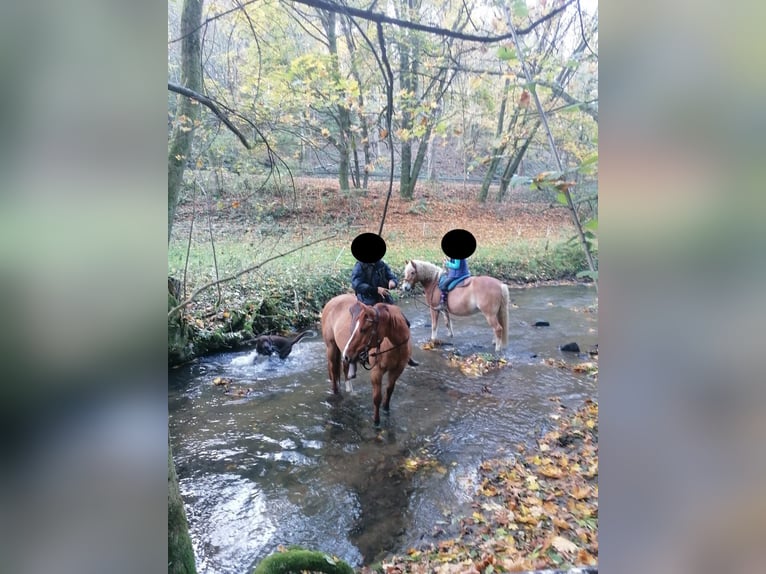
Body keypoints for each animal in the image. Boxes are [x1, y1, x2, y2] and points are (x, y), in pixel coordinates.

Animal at [321, 294, 412, 425]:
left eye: (363, 329)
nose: (347, 353)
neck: (394, 345)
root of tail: (332, 301)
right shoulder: (376, 371)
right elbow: (377, 398)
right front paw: (376, 422)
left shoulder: (397, 370)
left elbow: (389, 391)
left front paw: (386, 409)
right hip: (332, 348)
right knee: (334, 374)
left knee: (345, 369)